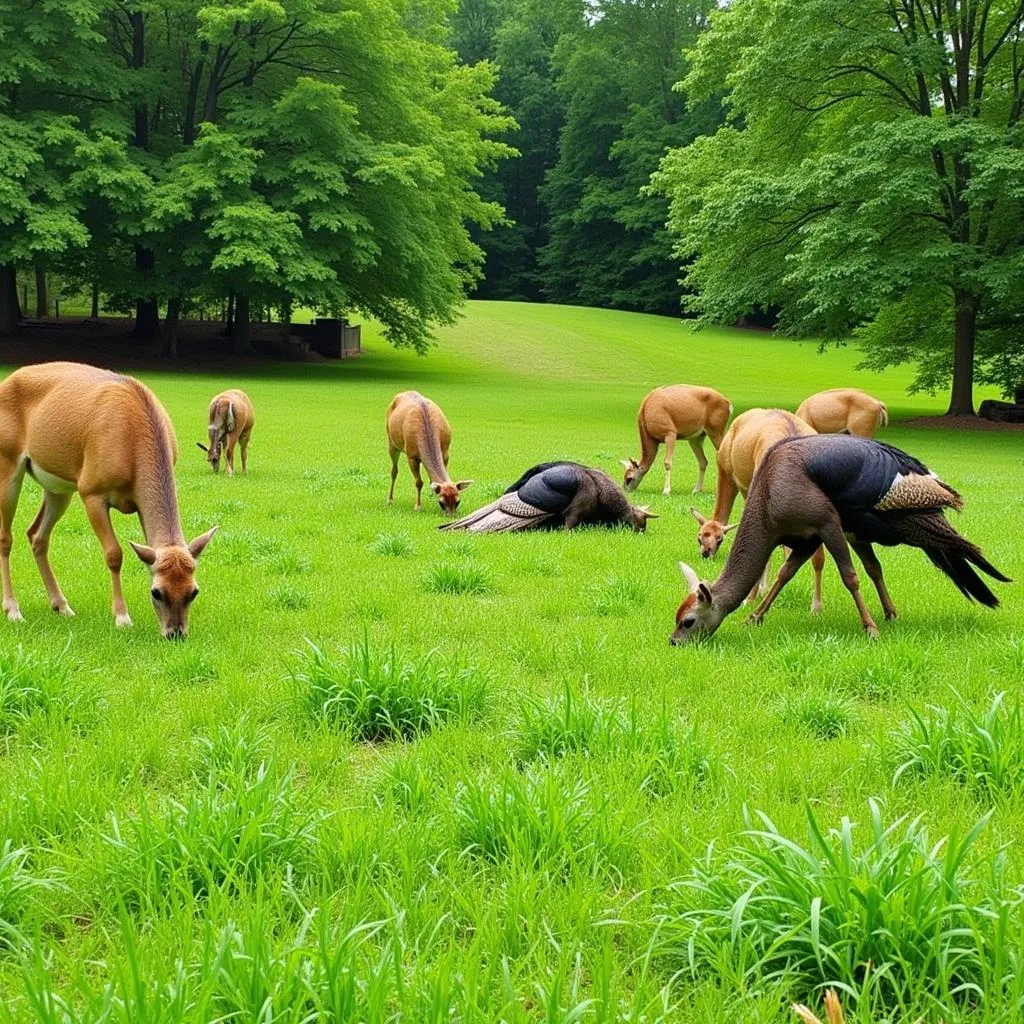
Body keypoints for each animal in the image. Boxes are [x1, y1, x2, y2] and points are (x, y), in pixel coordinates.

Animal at [0, 358, 216, 630]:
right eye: (157, 592)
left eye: (194, 591)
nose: (175, 633)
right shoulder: (91, 490)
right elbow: (114, 553)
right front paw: (122, 616)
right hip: (8, 459)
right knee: (6, 536)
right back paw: (13, 609)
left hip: (59, 485)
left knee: (37, 535)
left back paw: (61, 605)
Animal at [667, 434, 1011, 643]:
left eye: (688, 622)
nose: (674, 642)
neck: (769, 494)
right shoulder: (808, 539)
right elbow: (784, 574)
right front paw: (756, 615)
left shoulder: (827, 525)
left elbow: (850, 576)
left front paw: (869, 626)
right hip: (861, 533)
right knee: (875, 568)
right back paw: (890, 611)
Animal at [684, 407, 827, 614]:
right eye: (701, 536)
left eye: (720, 539)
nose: (706, 553)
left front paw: (750, 598)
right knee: (817, 556)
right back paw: (815, 606)